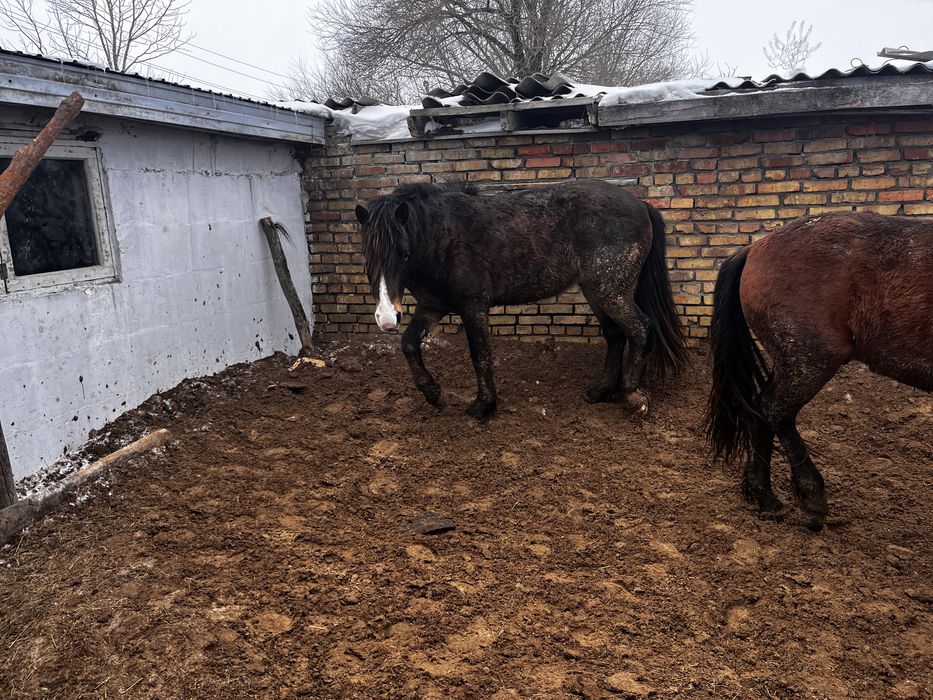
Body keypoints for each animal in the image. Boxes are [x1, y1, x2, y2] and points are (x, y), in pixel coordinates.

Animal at [354, 180, 687, 421]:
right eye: (368, 257)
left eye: (404, 254)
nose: (386, 318)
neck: (443, 237)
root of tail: (640, 204)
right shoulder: (432, 306)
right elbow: (408, 344)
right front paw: (434, 394)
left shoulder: (473, 307)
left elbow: (480, 355)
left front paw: (484, 406)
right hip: (596, 290)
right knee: (615, 334)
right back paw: (601, 391)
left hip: (611, 290)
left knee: (640, 328)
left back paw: (633, 396)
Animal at [704, 212, 933, 530]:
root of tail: (754, 248)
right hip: (809, 359)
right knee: (776, 410)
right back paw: (811, 496)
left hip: (792, 361)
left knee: (763, 409)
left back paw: (763, 495)